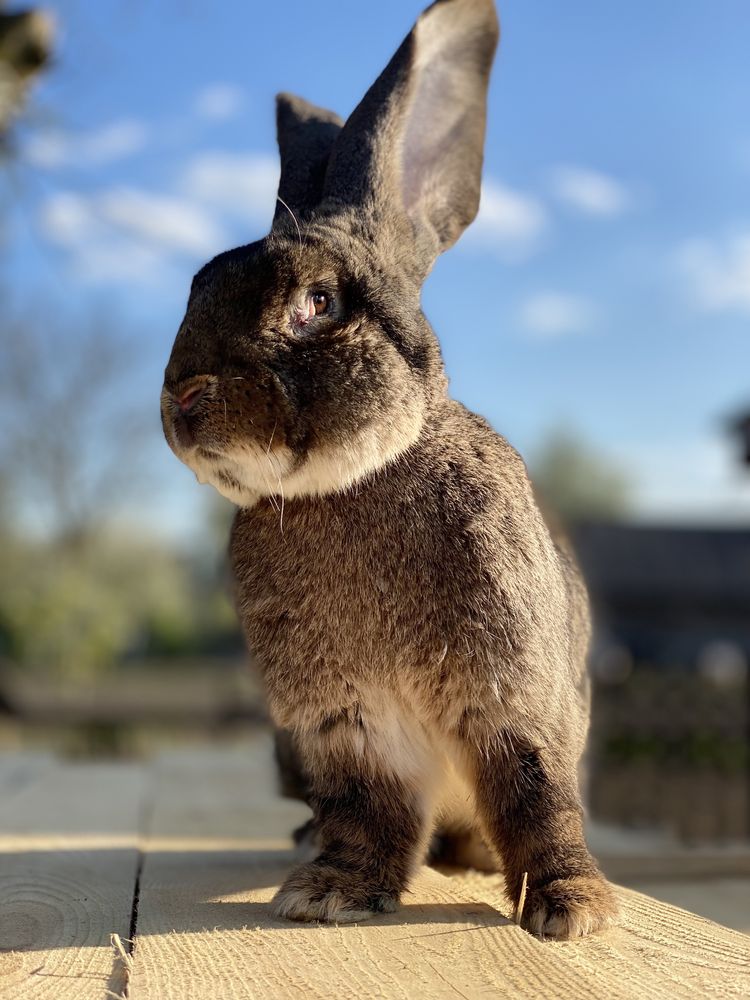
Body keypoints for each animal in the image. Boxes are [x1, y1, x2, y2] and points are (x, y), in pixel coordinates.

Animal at [162, 0, 620, 936]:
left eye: (318, 303)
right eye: (195, 289)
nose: (182, 398)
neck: (353, 480)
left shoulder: (512, 704)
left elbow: (538, 799)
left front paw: (573, 910)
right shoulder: (347, 729)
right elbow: (368, 810)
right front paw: (329, 893)